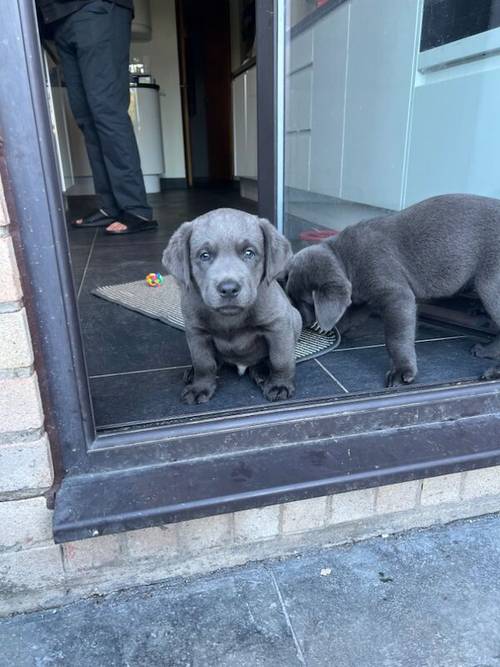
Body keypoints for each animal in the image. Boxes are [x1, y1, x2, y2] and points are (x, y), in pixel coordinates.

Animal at [162, 209, 300, 404]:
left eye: (249, 253)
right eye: (204, 255)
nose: (228, 289)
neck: (230, 318)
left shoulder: (278, 325)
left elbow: (280, 359)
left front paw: (279, 385)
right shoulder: (196, 332)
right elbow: (203, 363)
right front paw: (200, 387)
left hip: (295, 317)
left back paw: (263, 371)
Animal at [288, 194, 500, 386]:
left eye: (305, 302)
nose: (298, 319)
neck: (346, 259)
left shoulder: (397, 296)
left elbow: (396, 338)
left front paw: (402, 370)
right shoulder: (364, 298)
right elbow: (348, 316)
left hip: (490, 285)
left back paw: (491, 365)